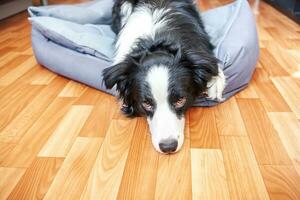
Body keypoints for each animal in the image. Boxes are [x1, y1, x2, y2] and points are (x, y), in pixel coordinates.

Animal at [102, 0, 225, 154]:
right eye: (146, 103)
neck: (156, 41)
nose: (168, 147)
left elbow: (211, 64)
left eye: (180, 100)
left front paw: (216, 83)